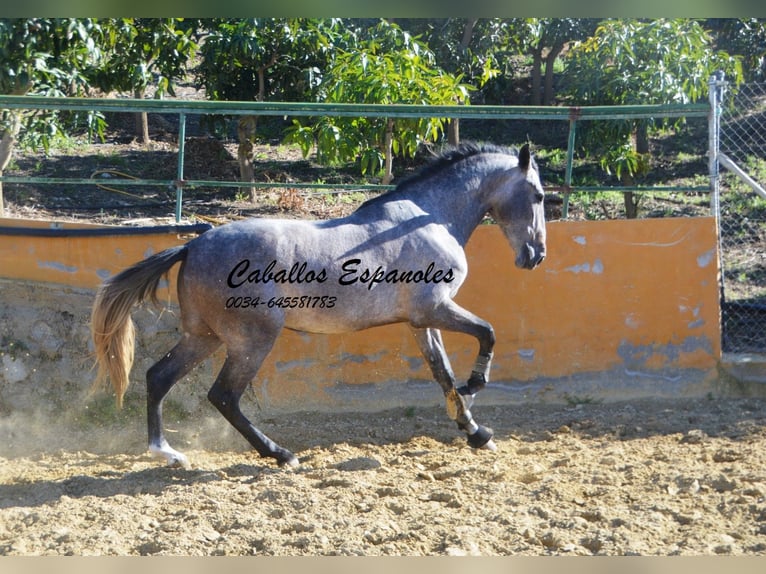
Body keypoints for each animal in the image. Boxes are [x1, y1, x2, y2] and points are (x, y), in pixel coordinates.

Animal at [91, 142, 544, 470]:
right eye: (539, 195)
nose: (536, 256)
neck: (428, 217)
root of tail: (192, 246)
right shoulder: (435, 309)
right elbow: (487, 333)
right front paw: (476, 386)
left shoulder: (421, 321)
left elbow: (443, 373)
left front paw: (476, 432)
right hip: (252, 339)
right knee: (223, 396)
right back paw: (281, 455)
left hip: (204, 336)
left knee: (158, 377)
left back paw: (167, 453)